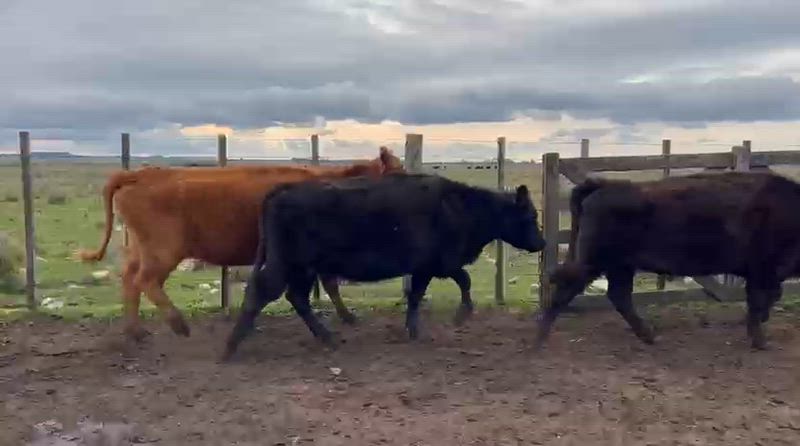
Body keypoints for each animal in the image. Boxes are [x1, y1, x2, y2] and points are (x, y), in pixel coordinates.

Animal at [221, 172, 547, 361]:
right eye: (531, 216)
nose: (542, 243)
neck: (460, 206)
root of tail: (283, 189)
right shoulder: (440, 263)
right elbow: (463, 280)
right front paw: (461, 314)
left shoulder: (424, 268)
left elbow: (416, 296)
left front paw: (413, 329)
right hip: (289, 264)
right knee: (263, 292)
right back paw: (231, 347)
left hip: (304, 268)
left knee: (296, 297)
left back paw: (328, 338)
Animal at [534, 170, 800, 351]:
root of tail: (604, 185)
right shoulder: (763, 271)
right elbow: (759, 301)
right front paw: (760, 341)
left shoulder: (765, 274)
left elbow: (767, 299)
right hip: (597, 263)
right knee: (568, 289)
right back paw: (539, 338)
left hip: (621, 266)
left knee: (618, 296)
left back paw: (649, 336)